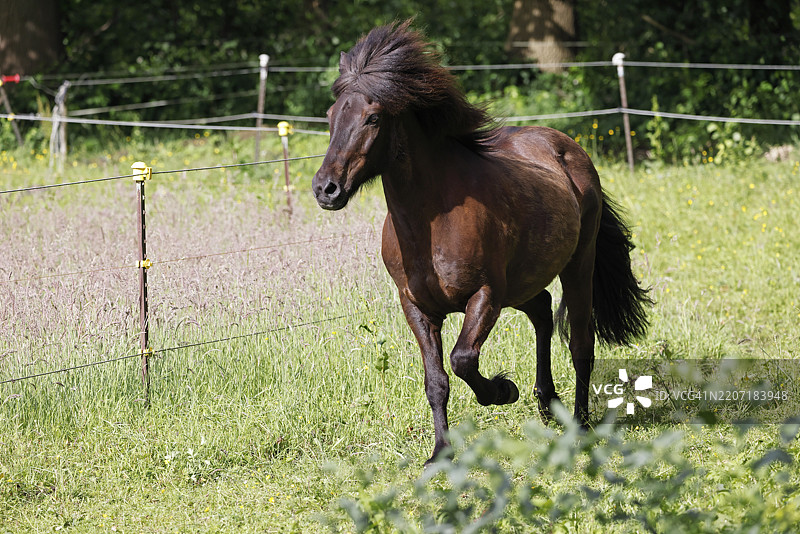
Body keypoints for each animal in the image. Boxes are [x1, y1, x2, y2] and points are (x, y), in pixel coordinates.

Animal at [312, 21, 652, 464]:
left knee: (580, 342)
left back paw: (579, 423)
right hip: (523, 282)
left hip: (578, 264)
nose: (326, 189)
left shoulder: (486, 295)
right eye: (331, 115)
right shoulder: (416, 307)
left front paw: (504, 390)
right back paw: (547, 403)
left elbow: (462, 360)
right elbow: (437, 380)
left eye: (372, 117)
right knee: (542, 311)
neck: (432, 224)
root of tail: (569, 149)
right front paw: (440, 453)